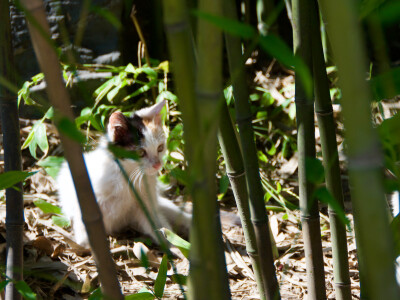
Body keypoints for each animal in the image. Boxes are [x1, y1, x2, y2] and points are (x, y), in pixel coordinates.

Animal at [56, 100, 192, 246]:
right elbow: (83, 218)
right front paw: (85, 241)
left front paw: (174, 244)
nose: (157, 165)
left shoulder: (145, 203)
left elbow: (158, 225)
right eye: (140, 152)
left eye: (160, 148)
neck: (127, 174)